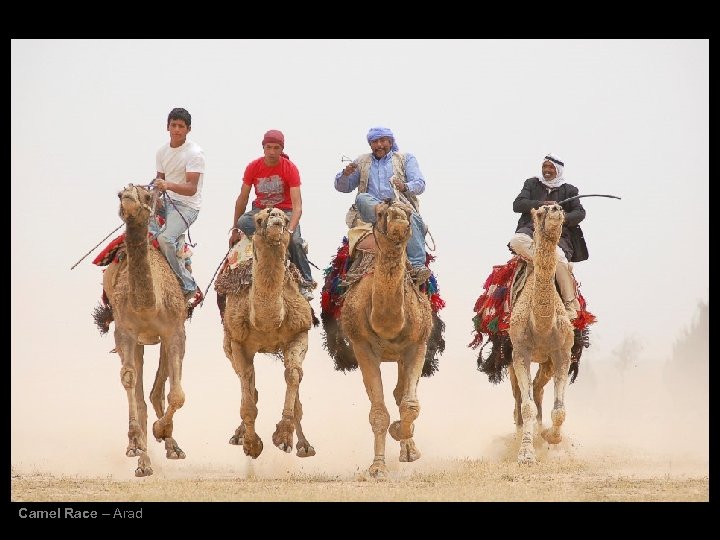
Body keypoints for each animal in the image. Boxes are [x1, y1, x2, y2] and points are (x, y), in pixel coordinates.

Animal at [102, 185, 191, 476]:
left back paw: (172, 446)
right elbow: (130, 382)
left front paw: (161, 431)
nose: (128, 194)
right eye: (120, 194)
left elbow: (177, 393)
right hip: (136, 340)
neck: (149, 306)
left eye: (148, 195)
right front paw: (138, 447)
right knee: (141, 392)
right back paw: (140, 454)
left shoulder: (175, 331)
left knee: (158, 389)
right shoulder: (125, 332)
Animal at [221, 207, 316, 460]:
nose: (275, 219)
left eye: (285, 218)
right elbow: (247, 384)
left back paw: (304, 445)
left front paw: (284, 437)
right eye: (259, 219)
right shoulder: (237, 341)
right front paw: (252, 445)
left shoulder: (299, 333)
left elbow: (293, 375)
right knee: (246, 381)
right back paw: (238, 435)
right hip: (227, 344)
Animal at [338, 200, 434, 478]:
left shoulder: (418, 344)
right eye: (380, 212)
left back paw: (408, 448)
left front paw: (402, 434)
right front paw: (378, 467)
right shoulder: (362, 347)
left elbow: (410, 404)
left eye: (410, 213)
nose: (398, 218)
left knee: (401, 393)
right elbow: (378, 412)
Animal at [506, 202, 572, 464]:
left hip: (547, 361)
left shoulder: (562, 352)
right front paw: (525, 454)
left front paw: (551, 438)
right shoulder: (520, 352)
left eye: (559, 208)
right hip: (511, 356)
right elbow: (526, 407)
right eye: (541, 210)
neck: (541, 323)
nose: (556, 209)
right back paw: (520, 435)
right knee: (519, 397)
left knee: (537, 388)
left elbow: (560, 410)